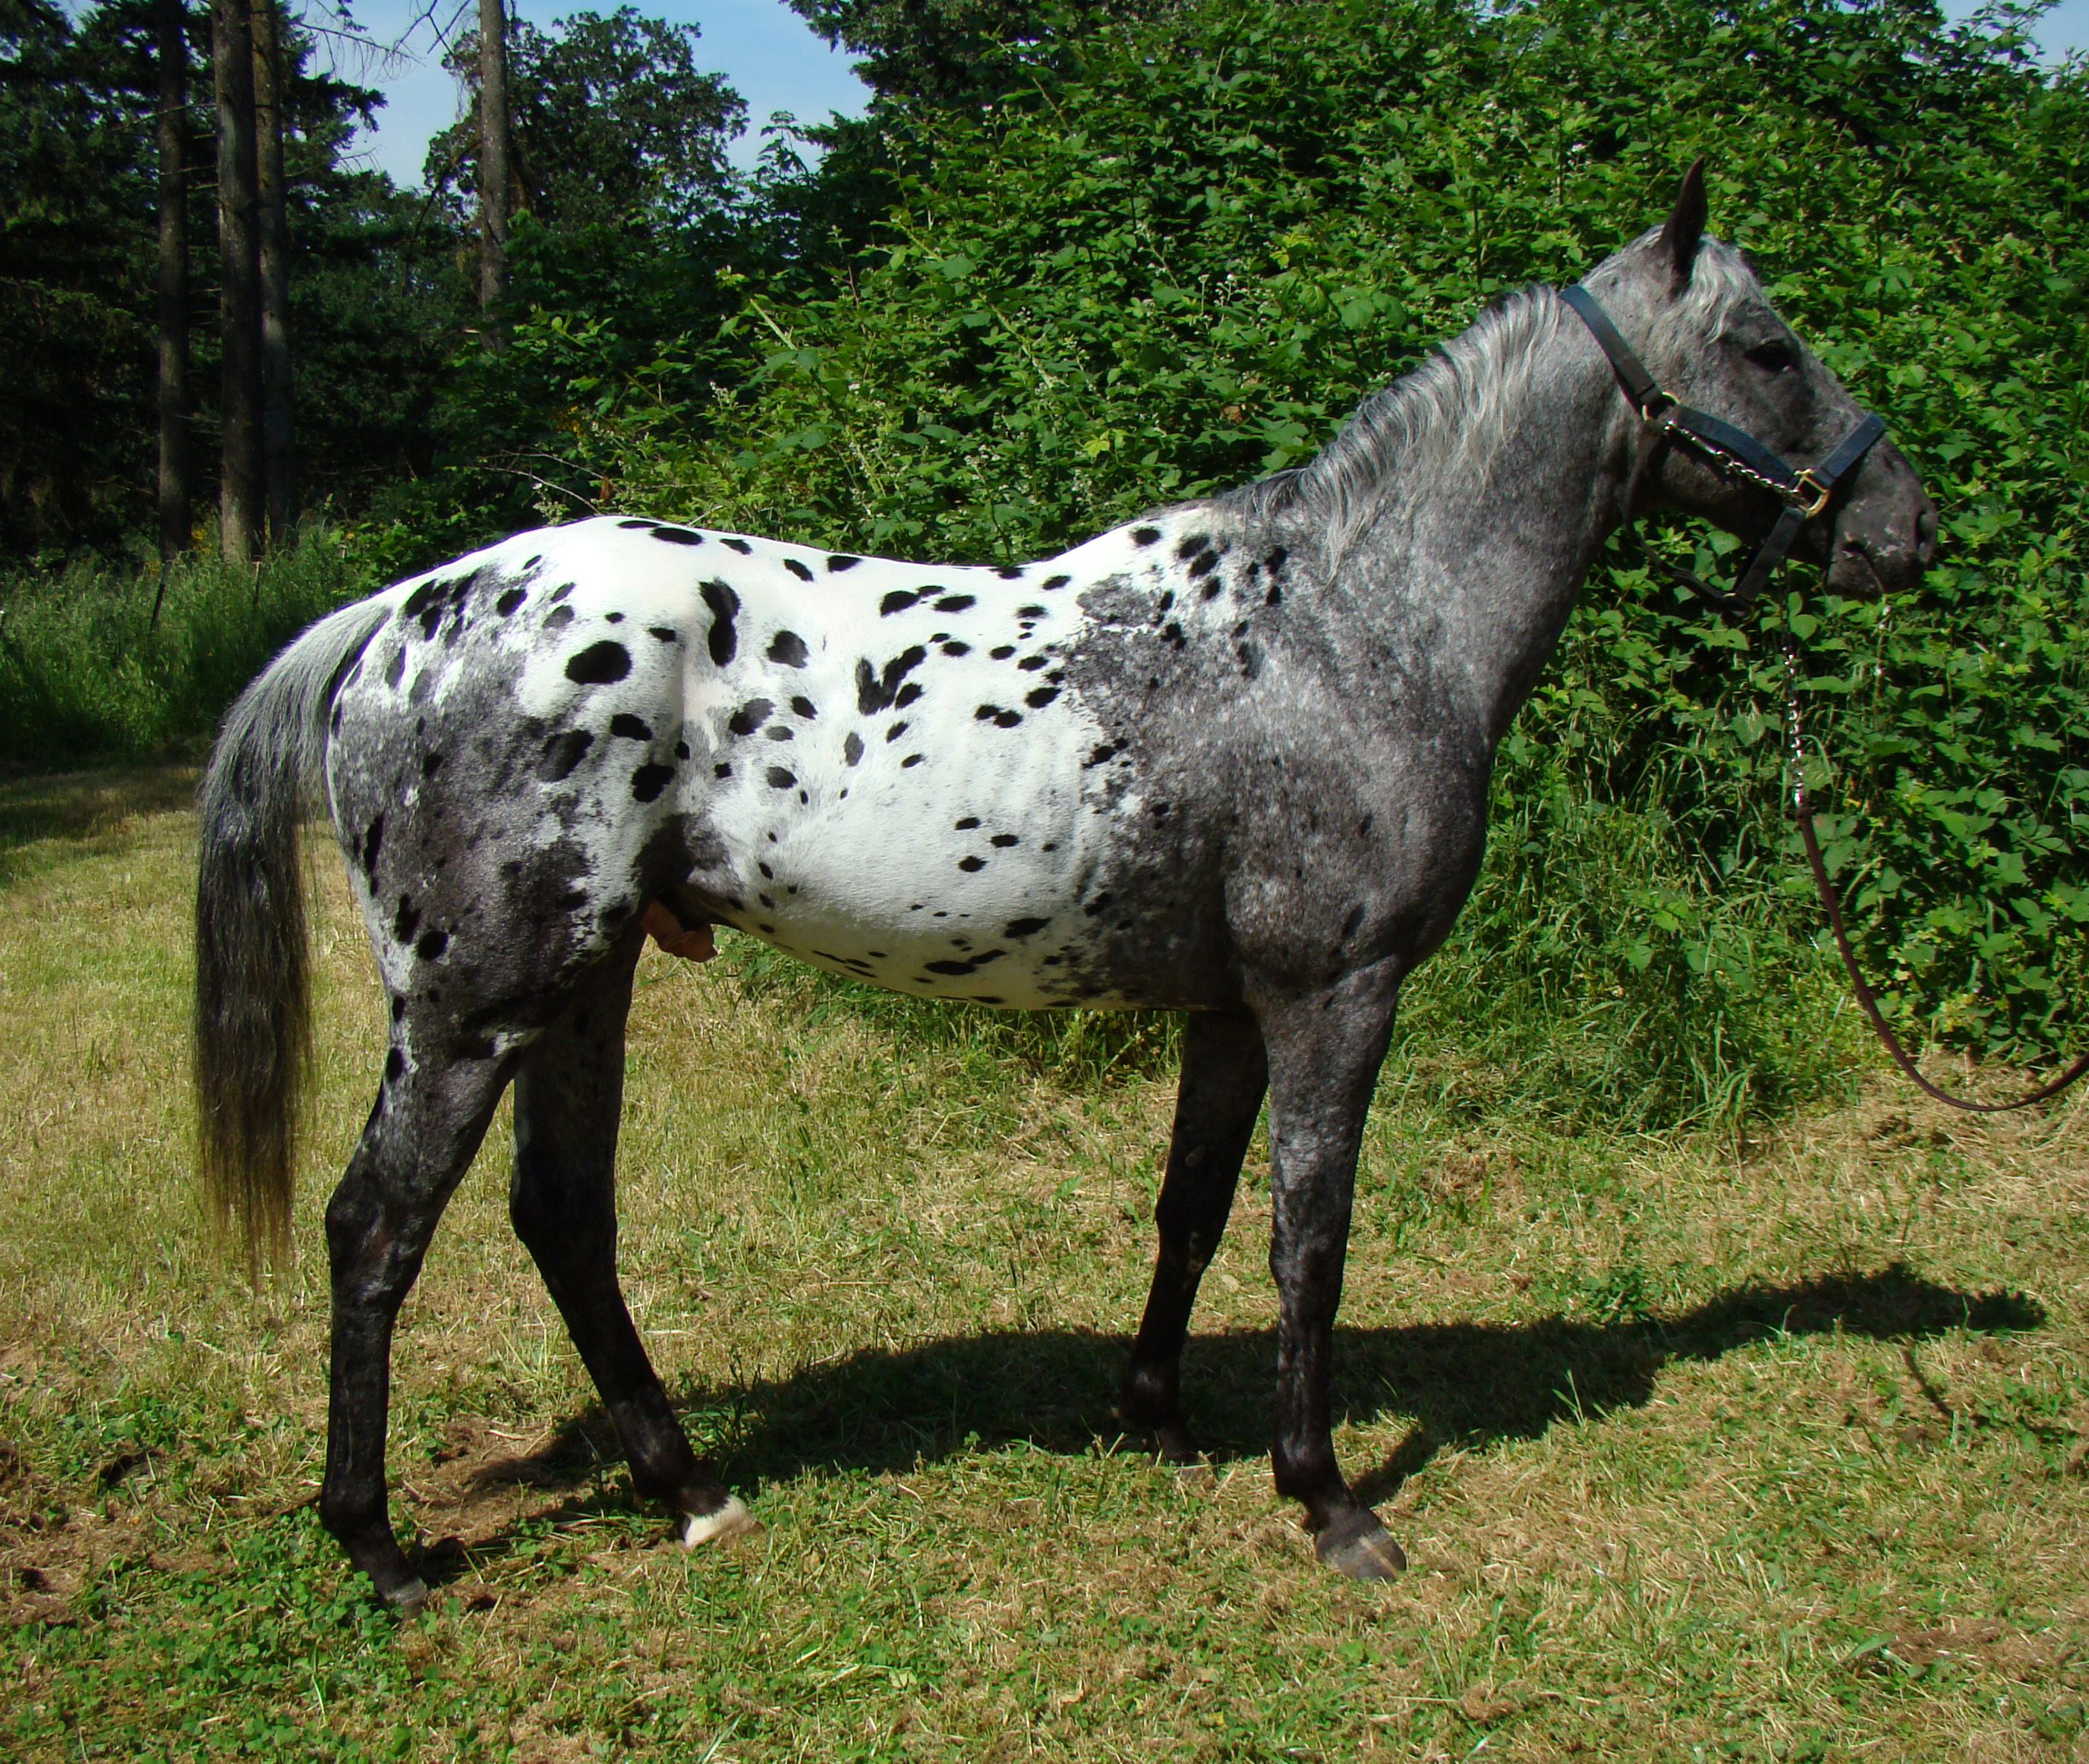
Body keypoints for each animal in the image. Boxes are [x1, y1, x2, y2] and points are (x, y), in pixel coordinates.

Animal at [199, 172, 1938, 1605]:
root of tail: (407, 611)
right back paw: (380, 1549)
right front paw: (1328, 1504)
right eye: (1769, 347)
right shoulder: (1335, 994)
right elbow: (1310, 1238)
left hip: (590, 980)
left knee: (562, 1217)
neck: (1344, 626)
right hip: (477, 1002)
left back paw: (690, 1491)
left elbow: (1194, 1208)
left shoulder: (1234, 1008)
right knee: (376, 1229)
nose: (1903, 528)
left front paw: (1156, 1417)